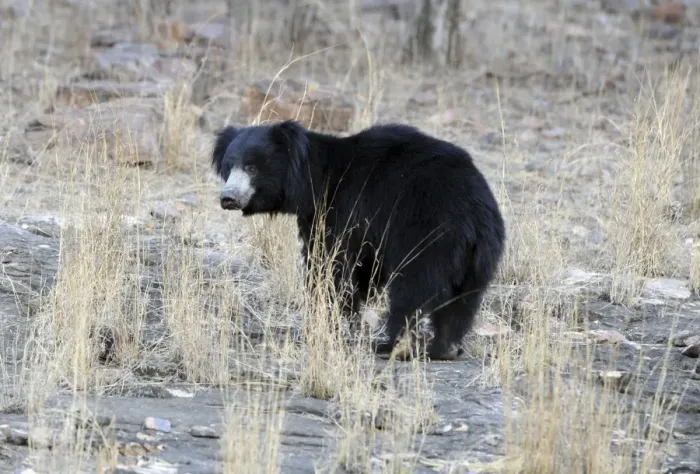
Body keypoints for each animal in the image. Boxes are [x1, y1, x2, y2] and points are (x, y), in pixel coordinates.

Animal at [210, 119, 505, 360]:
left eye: (252, 168)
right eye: (229, 166)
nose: (228, 198)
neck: (313, 178)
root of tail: (475, 214)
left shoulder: (344, 208)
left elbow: (330, 264)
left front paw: (326, 320)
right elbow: (363, 268)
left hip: (429, 235)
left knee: (414, 291)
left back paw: (389, 345)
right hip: (480, 257)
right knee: (463, 302)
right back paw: (446, 348)